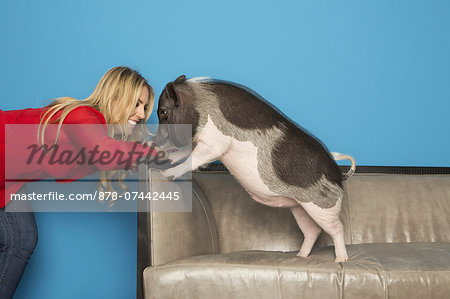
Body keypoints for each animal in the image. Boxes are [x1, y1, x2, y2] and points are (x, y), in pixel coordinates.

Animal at [153, 75, 356, 262]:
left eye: (163, 112)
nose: (155, 142)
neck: (198, 105)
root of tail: (337, 173)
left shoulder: (214, 144)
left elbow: (194, 159)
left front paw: (165, 173)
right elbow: (185, 152)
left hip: (322, 206)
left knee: (337, 229)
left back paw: (340, 260)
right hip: (299, 207)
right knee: (312, 231)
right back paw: (300, 256)